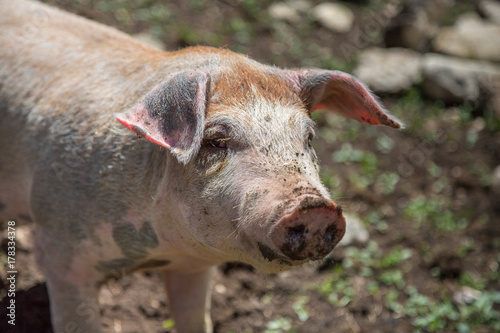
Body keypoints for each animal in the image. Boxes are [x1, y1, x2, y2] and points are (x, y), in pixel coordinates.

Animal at [0, 0, 402, 332]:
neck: (160, 250)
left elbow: (194, 319)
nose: (315, 207)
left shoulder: (194, 268)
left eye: (308, 137)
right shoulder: (61, 253)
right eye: (216, 141)